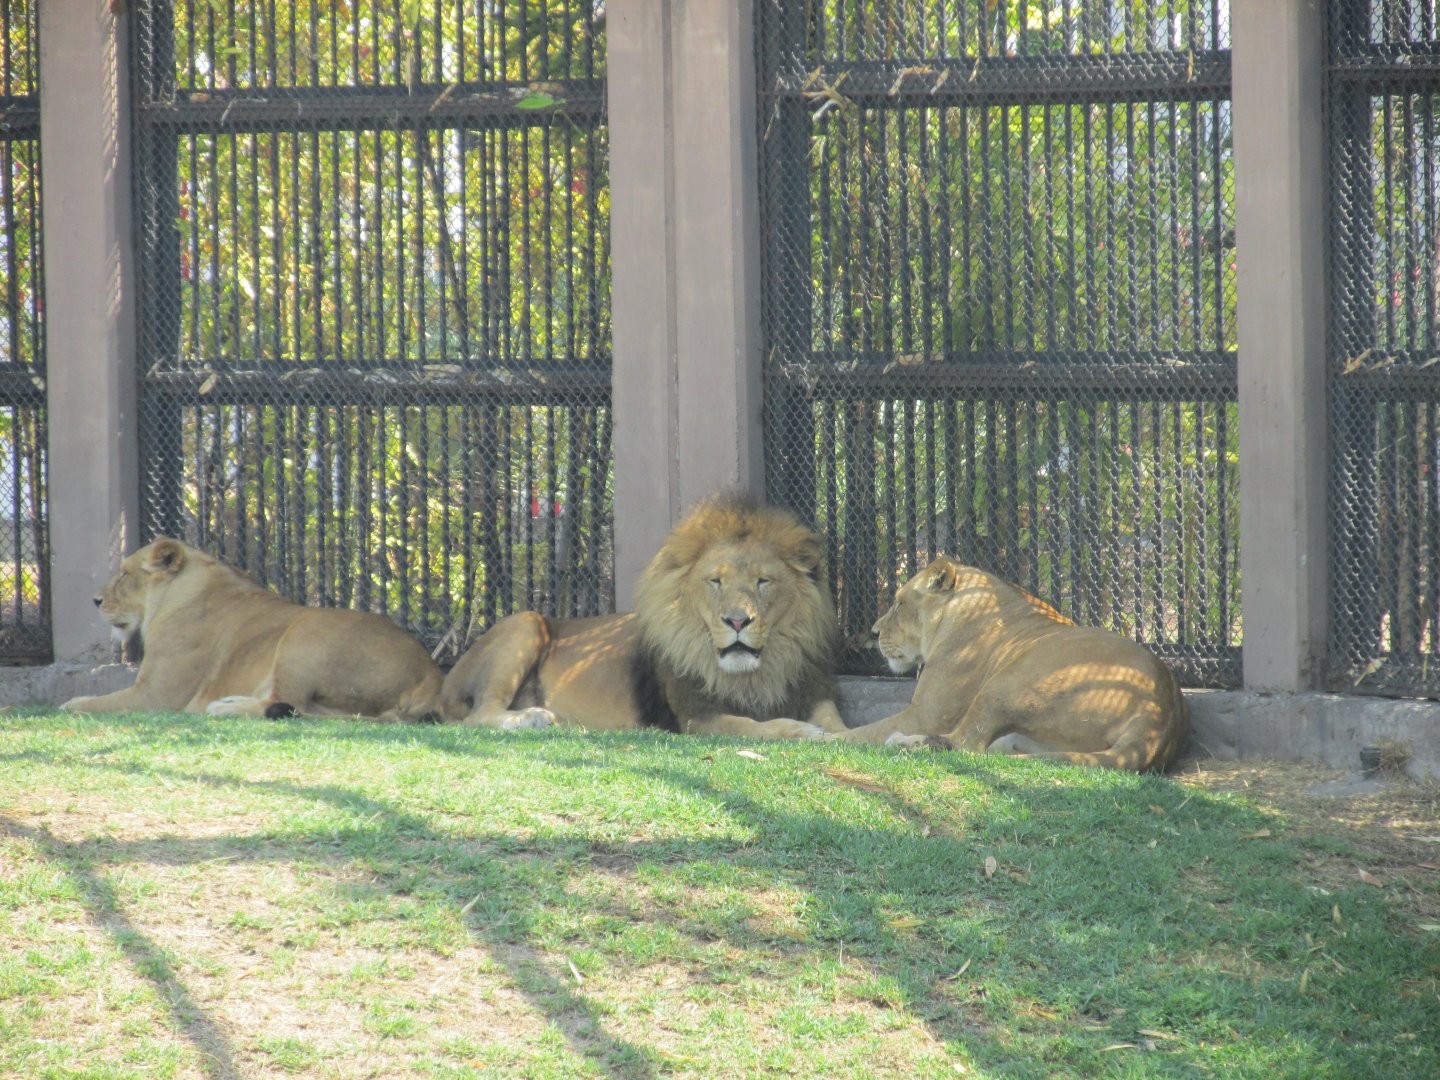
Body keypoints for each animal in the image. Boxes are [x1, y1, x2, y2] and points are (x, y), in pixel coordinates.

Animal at [60, 537, 443, 723]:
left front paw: (69, 704)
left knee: (288, 705)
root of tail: (430, 672)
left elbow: (97, 703)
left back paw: (224, 708)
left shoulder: (157, 695)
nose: (95, 600)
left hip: (304, 633)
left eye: (125, 574)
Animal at [441, 493, 845, 740]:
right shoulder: (697, 718)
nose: (736, 622)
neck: (760, 672)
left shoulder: (815, 692)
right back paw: (532, 717)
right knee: (477, 716)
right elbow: (756, 726)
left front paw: (837, 735)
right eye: (715, 581)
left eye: (763, 582)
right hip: (525, 623)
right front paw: (802, 732)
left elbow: (837, 725)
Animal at [833, 556, 1189, 772]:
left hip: (1007, 684)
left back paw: (905, 743)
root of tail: (1160, 716)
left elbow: (860, 733)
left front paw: (821, 737)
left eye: (898, 603)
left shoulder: (927, 713)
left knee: (965, 745)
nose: (874, 632)